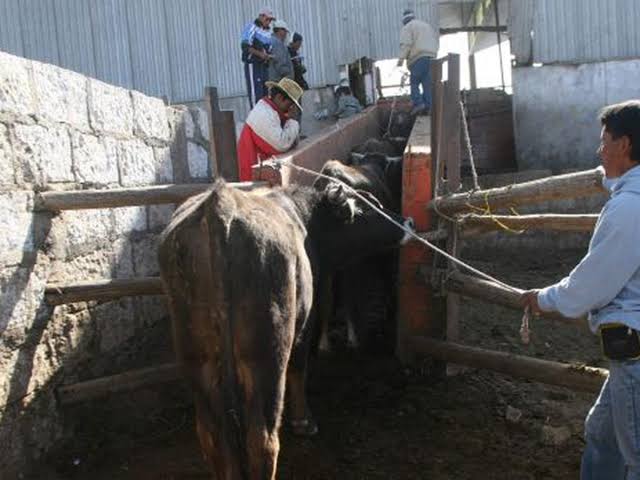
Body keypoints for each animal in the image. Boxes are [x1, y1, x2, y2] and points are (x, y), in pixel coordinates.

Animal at [158, 178, 412, 478]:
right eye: (367, 209)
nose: (408, 222)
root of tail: (220, 204)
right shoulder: (304, 325)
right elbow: (299, 368)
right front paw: (303, 422)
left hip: (198, 359)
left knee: (210, 435)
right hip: (268, 356)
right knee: (263, 439)